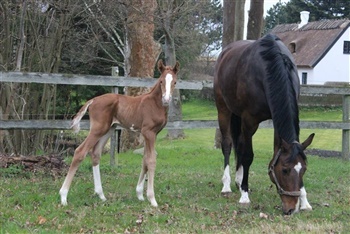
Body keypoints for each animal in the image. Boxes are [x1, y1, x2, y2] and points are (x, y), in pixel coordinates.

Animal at [59, 59, 179, 207]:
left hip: (107, 130)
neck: (155, 104)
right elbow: (151, 160)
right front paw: (152, 199)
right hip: (97, 129)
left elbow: (145, 159)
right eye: (161, 81)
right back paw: (63, 196)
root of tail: (93, 100)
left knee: (95, 154)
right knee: (80, 151)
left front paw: (140, 194)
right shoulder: (149, 132)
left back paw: (101, 195)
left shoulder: (151, 134)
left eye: (175, 82)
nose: (166, 99)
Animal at [213, 33, 314, 215]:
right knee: (228, 144)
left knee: (238, 144)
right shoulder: (249, 121)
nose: (291, 209)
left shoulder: (276, 120)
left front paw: (304, 201)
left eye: (303, 169)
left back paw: (238, 180)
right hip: (223, 109)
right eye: (284, 170)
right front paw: (244, 196)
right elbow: (248, 156)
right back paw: (227, 186)